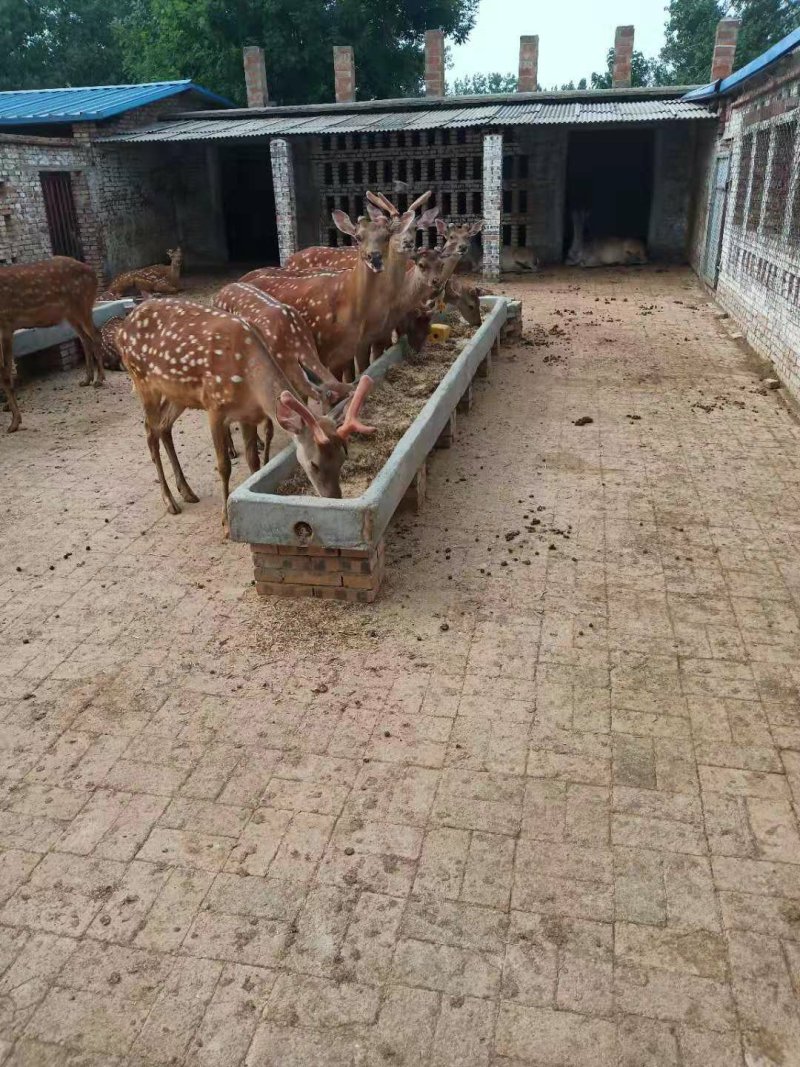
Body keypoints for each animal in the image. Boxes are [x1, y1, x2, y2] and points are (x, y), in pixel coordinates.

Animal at [0, 256, 104, 432]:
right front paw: (8, 408)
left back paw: (99, 379)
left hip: (82, 304)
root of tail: (93, 272)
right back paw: (87, 379)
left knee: (95, 334)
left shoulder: (5, 325)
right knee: (85, 338)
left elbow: (5, 373)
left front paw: (14, 422)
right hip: (70, 313)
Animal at [115, 298, 376, 528]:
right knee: (149, 431)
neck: (250, 381)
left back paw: (187, 491)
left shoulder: (247, 415)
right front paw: (225, 520)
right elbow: (224, 466)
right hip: (142, 380)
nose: (335, 498)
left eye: (343, 457)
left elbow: (254, 461)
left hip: (177, 394)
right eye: (314, 464)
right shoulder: (214, 406)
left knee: (163, 427)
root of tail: (122, 329)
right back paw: (170, 500)